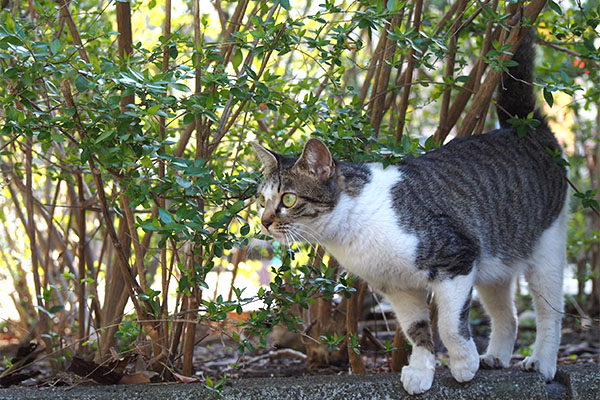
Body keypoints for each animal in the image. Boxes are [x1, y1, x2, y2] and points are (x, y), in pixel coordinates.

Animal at [253, 28, 568, 394]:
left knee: (550, 313)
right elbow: (417, 331)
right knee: (508, 313)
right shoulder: (398, 288)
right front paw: (421, 370)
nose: (264, 221)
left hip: (546, 247)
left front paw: (463, 364)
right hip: (495, 258)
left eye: (288, 199)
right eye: (262, 199)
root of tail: (524, 126)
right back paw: (496, 356)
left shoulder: (458, 258)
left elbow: (448, 325)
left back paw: (542, 363)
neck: (351, 233)